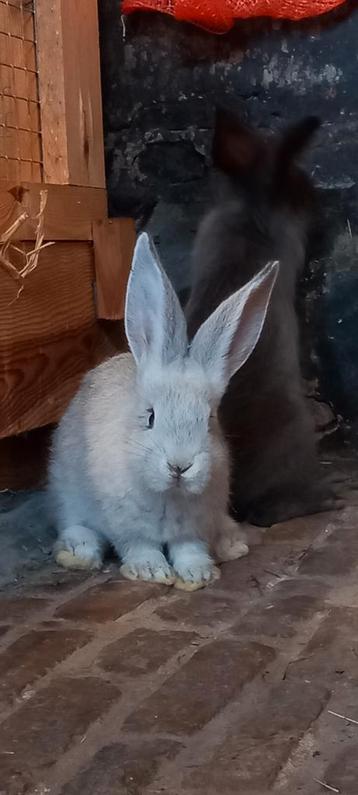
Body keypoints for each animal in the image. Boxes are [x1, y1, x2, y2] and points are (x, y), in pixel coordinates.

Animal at [185, 107, 336, 528]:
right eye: (301, 188)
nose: (321, 208)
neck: (252, 206)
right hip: (294, 433)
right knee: (272, 511)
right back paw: (329, 500)